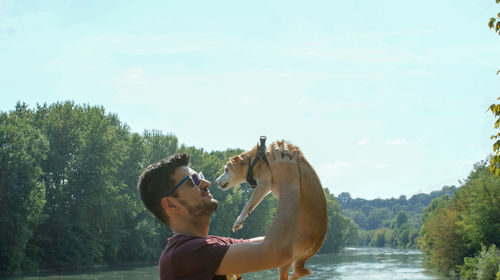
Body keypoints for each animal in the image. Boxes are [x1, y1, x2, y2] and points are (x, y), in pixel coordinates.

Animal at [215, 139, 328, 278]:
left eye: (226, 169)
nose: (215, 181)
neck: (257, 158)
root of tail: (319, 241)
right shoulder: (265, 187)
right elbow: (251, 205)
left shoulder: (264, 184)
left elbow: (248, 203)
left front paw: (238, 221)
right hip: (293, 260)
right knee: (296, 274)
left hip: (285, 255)